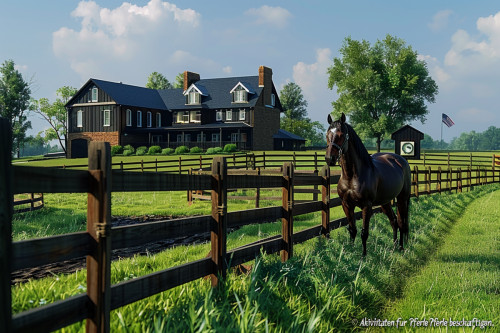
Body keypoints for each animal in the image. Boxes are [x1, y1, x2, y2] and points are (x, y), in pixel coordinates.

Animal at [326, 113, 412, 255]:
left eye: (341, 135)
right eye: (327, 134)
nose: (329, 159)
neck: (352, 176)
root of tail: (401, 160)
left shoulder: (367, 206)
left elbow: (364, 233)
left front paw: (363, 256)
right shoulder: (346, 205)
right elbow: (352, 230)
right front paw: (350, 252)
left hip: (402, 199)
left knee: (401, 223)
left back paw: (401, 247)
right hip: (385, 202)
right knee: (393, 221)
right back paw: (393, 248)